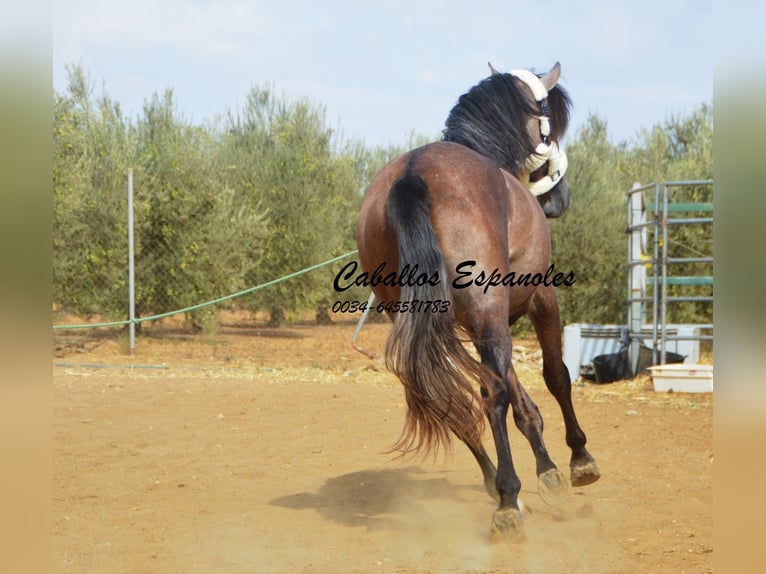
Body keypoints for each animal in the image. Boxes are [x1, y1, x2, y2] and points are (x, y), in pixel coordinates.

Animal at [356, 63, 604, 540]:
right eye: (550, 120)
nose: (560, 199)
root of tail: (413, 174)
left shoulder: (480, 324)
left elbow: (518, 394)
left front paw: (546, 469)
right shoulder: (538, 296)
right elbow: (554, 376)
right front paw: (578, 459)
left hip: (429, 323)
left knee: (446, 394)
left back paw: (498, 485)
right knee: (490, 394)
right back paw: (507, 497)